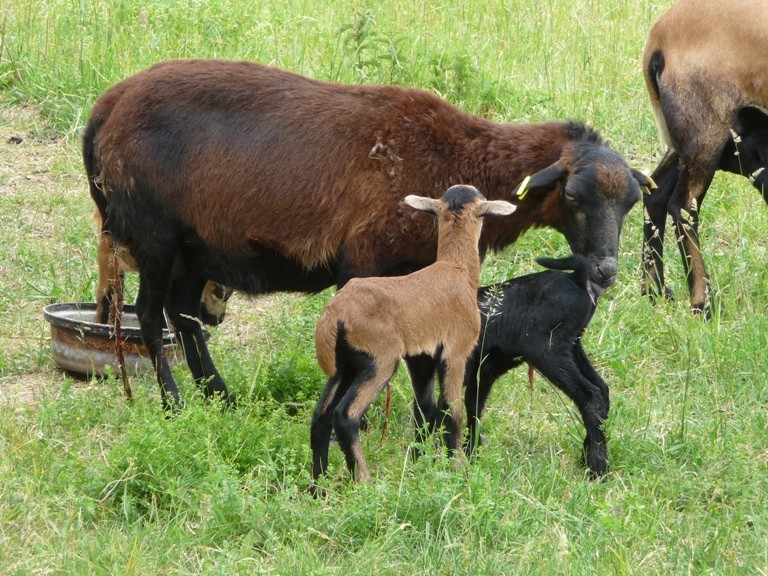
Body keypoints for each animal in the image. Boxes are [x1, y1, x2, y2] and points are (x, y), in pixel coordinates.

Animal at [308, 187, 512, 484]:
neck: (456, 269)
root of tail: (334, 314)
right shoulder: (456, 351)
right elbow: (452, 411)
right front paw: (458, 470)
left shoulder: (421, 359)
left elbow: (425, 410)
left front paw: (420, 465)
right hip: (379, 361)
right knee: (345, 416)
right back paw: (364, 481)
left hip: (343, 365)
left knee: (320, 416)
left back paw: (319, 484)